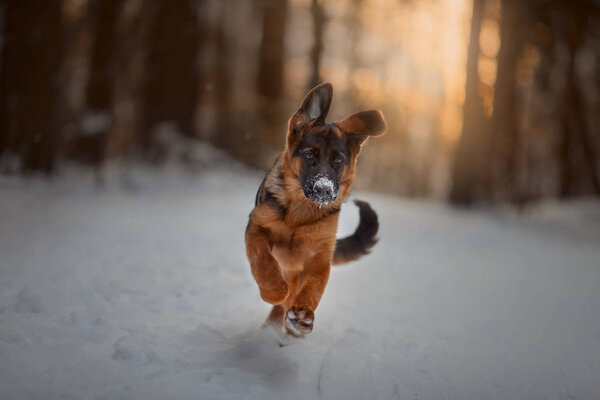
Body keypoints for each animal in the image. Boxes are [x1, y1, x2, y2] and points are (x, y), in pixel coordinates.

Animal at [244, 83, 384, 336]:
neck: (300, 211)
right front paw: (274, 291)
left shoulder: (318, 256)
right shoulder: (257, 228)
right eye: (309, 155)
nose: (324, 190)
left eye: (338, 160)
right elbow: (263, 261)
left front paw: (303, 315)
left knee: (290, 301)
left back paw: (290, 326)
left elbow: (313, 287)